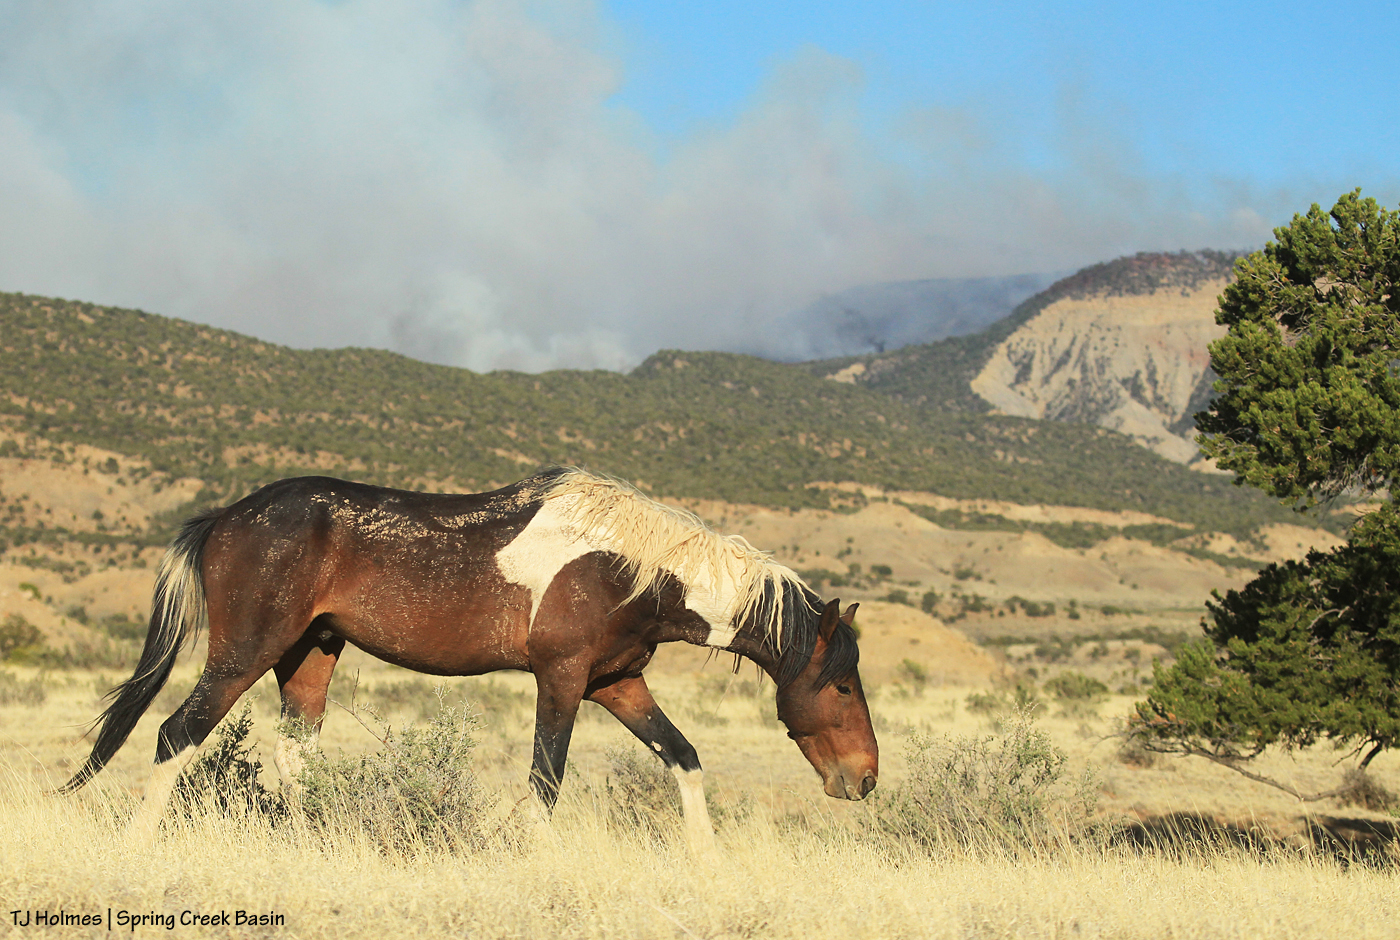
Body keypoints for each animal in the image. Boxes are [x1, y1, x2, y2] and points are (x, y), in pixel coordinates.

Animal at [61, 467, 878, 848]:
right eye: (842, 686)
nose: (864, 780)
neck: (626, 565)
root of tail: (224, 518)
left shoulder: (618, 683)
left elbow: (684, 759)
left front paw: (706, 860)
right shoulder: (563, 679)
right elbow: (545, 782)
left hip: (309, 656)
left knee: (294, 757)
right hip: (241, 656)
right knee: (176, 736)